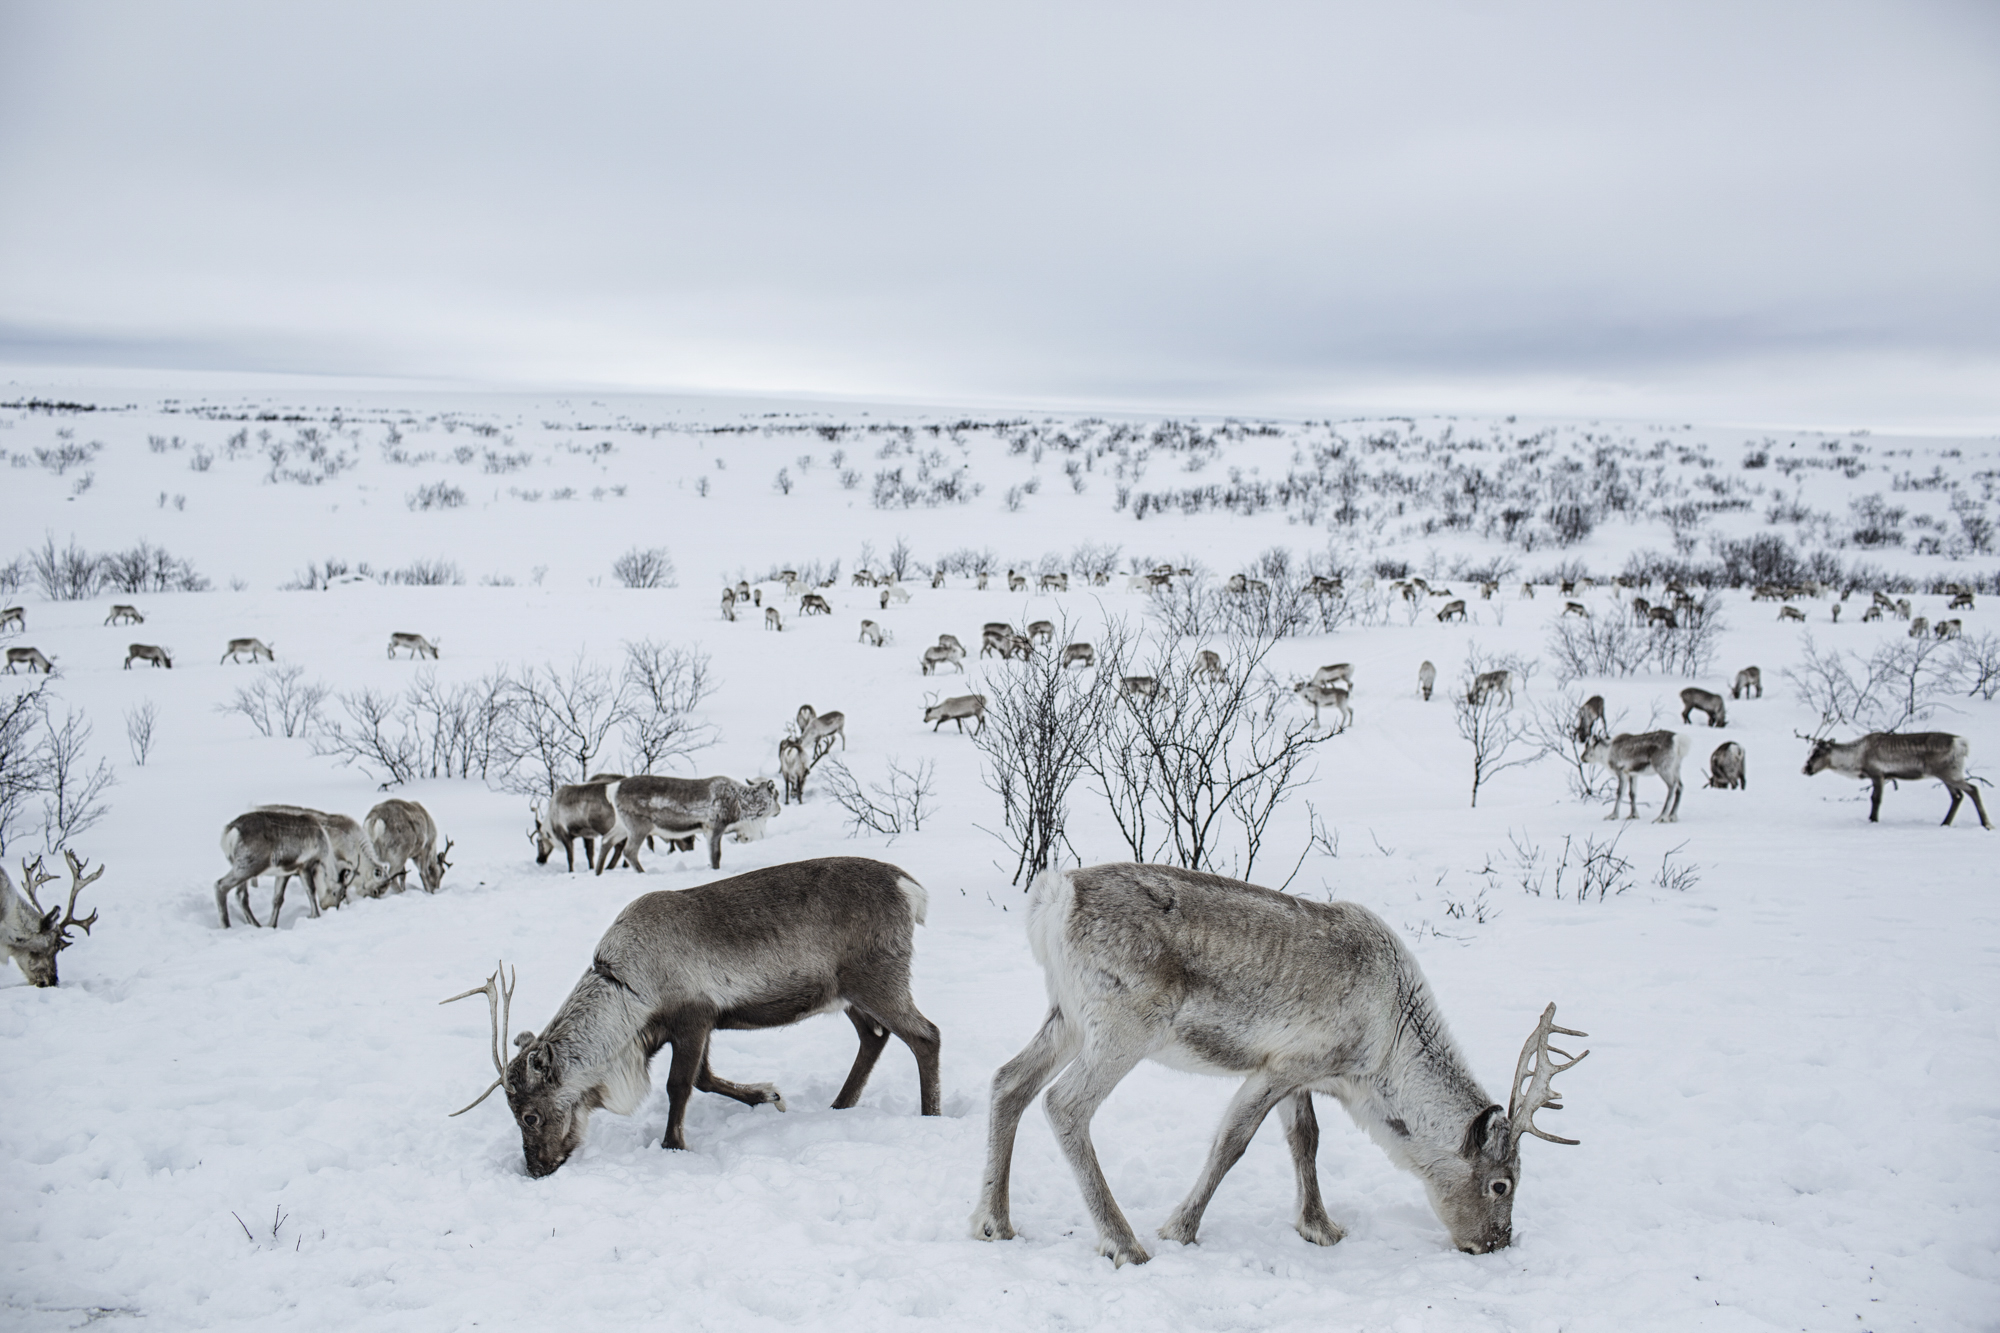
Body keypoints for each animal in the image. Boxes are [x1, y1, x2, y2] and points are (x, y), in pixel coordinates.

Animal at [444, 857, 942, 1176]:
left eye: (528, 1116)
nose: (536, 1168)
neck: (627, 992)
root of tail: (911, 889)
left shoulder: (692, 1017)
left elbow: (679, 1085)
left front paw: (672, 1146)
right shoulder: (696, 1024)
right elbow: (705, 1078)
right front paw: (768, 1094)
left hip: (877, 979)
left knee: (926, 1035)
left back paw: (930, 1117)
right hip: (848, 994)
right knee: (874, 1037)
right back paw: (840, 1106)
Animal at [971, 862, 1586, 1265]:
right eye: (1501, 1184)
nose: (1495, 1243)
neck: (1384, 1055)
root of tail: (1054, 897)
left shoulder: (1301, 1074)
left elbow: (1306, 1140)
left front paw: (1319, 1227)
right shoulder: (1285, 1065)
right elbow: (1233, 1142)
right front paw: (1181, 1229)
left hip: (1067, 1016)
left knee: (1009, 1081)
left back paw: (993, 1222)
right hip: (1122, 1026)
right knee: (1064, 1104)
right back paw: (1124, 1243)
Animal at [1800, 732, 1991, 829]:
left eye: (1817, 753)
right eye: (1810, 751)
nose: (1805, 769)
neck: (1856, 757)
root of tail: (1961, 743)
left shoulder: (1877, 774)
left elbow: (1875, 799)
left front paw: (1873, 820)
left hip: (1949, 773)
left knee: (1973, 789)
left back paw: (1987, 824)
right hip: (1945, 775)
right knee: (1957, 796)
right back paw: (1945, 823)